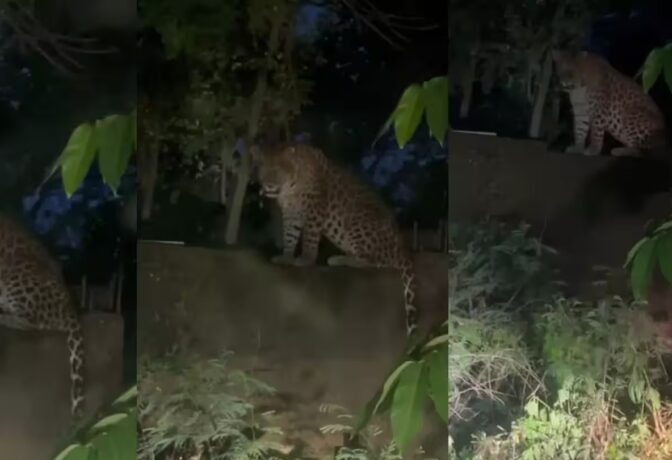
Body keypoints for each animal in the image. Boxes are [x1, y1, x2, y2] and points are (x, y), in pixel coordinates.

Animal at [250, 143, 419, 337]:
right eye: (263, 170)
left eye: (278, 170)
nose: (269, 185)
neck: (290, 188)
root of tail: (403, 248)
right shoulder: (291, 213)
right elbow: (289, 235)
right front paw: (286, 256)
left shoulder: (314, 207)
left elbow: (310, 237)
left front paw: (306, 259)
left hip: (357, 221)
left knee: (376, 262)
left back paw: (338, 259)